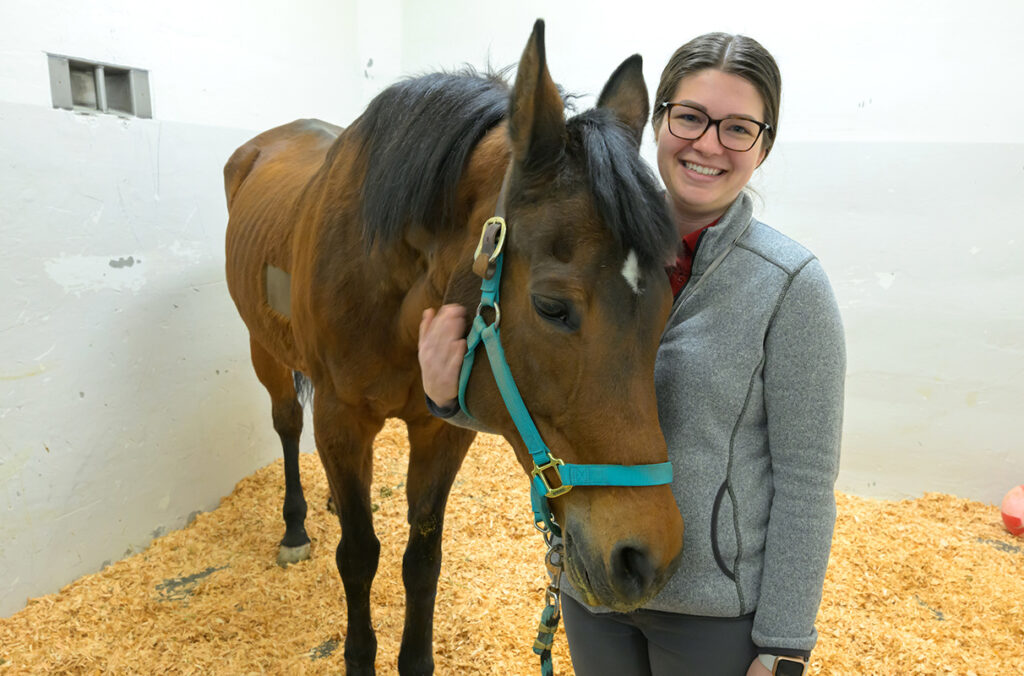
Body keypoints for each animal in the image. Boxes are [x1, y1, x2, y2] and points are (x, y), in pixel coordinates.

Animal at [223, 20, 684, 675]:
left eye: (665, 302)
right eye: (552, 307)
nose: (646, 559)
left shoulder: (444, 428)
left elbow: (423, 559)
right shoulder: (341, 418)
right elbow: (359, 557)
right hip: (264, 350)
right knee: (287, 423)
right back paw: (296, 529)